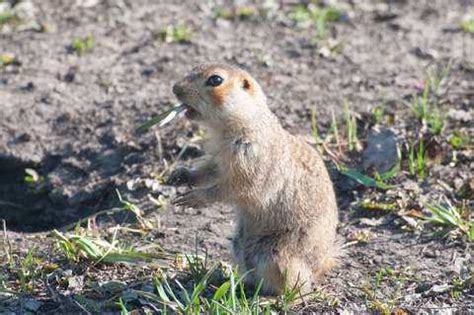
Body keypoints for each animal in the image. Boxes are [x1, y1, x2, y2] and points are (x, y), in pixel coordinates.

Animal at [168, 64, 338, 296]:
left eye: (215, 80)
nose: (175, 89)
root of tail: (322, 265)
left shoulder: (250, 158)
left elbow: (233, 188)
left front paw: (194, 198)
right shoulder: (220, 159)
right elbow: (208, 171)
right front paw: (180, 175)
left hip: (277, 255)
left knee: (296, 287)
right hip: (237, 244)